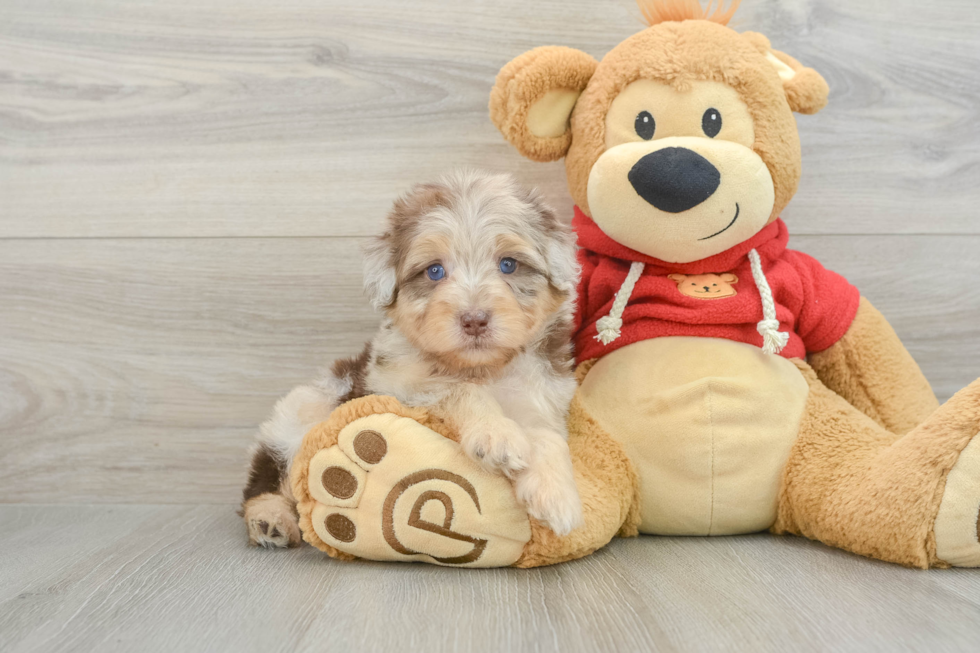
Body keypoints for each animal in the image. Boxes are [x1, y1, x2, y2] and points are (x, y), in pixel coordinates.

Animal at [242, 171, 584, 548]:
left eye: (508, 265)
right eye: (434, 271)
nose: (475, 319)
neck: (480, 368)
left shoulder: (543, 395)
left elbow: (548, 436)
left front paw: (557, 495)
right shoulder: (394, 387)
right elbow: (459, 390)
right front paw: (495, 435)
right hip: (304, 410)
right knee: (269, 476)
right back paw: (269, 519)